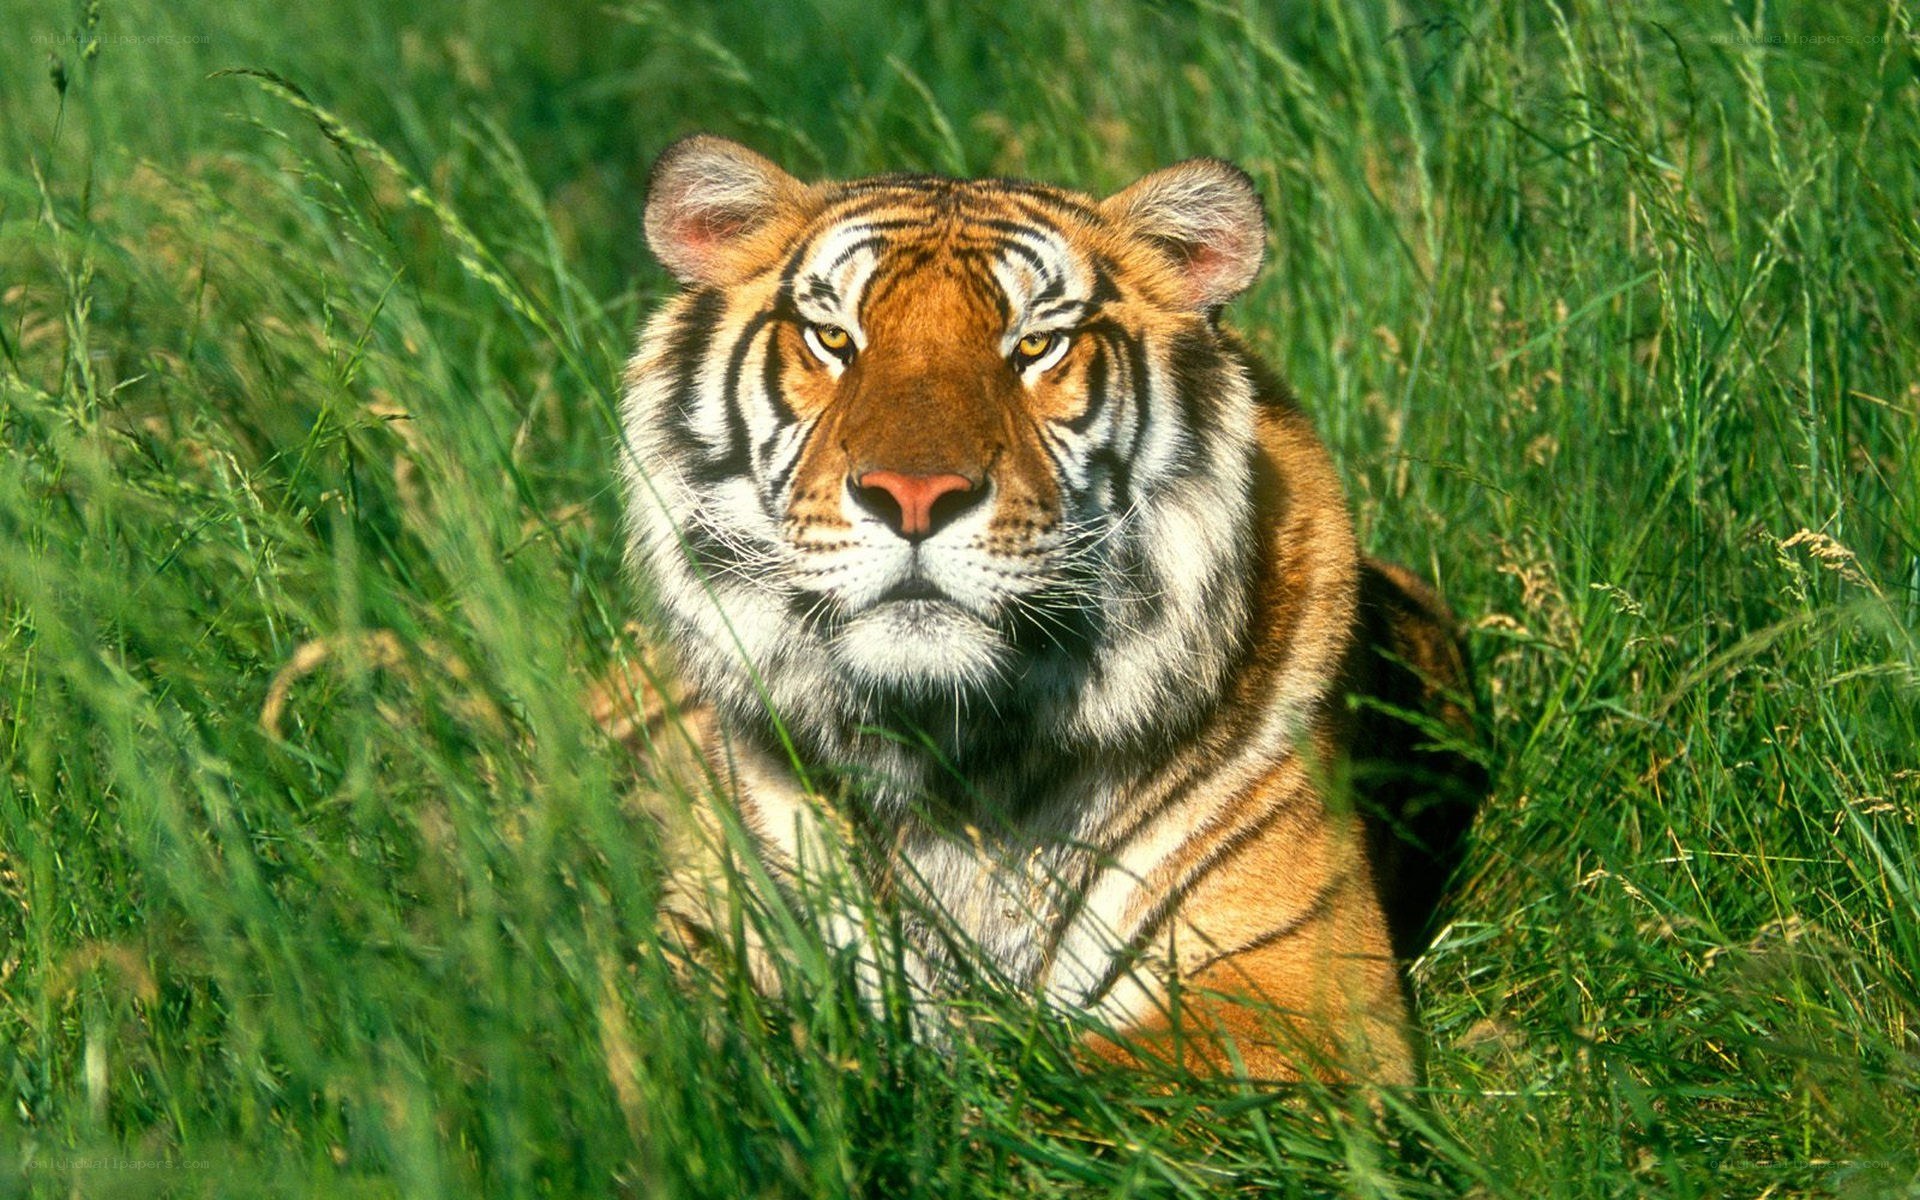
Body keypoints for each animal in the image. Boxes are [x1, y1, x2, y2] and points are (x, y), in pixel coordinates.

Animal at [604, 134, 1482, 1085]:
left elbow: (1053, 1091)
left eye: (1036, 346)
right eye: (833, 338)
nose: (914, 496)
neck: (953, 754)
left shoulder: (1295, 996)